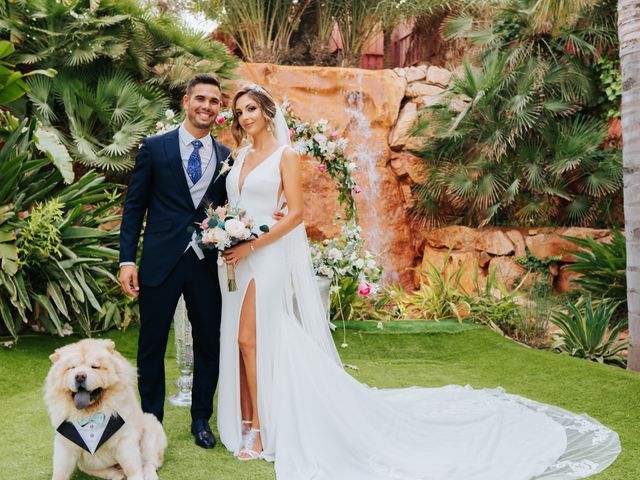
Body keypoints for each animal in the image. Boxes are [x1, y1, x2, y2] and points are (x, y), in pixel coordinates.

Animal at [45, 340, 168, 478]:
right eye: (72, 368)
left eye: (95, 367)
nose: (80, 376)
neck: (91, 414)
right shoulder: (65, 444)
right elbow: (60, 471)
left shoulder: (124, 440)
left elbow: (132, 467)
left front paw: (136, 476)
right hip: (87, 465)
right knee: (107, 471)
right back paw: (118, 476)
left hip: (150, 433)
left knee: (149, 463)